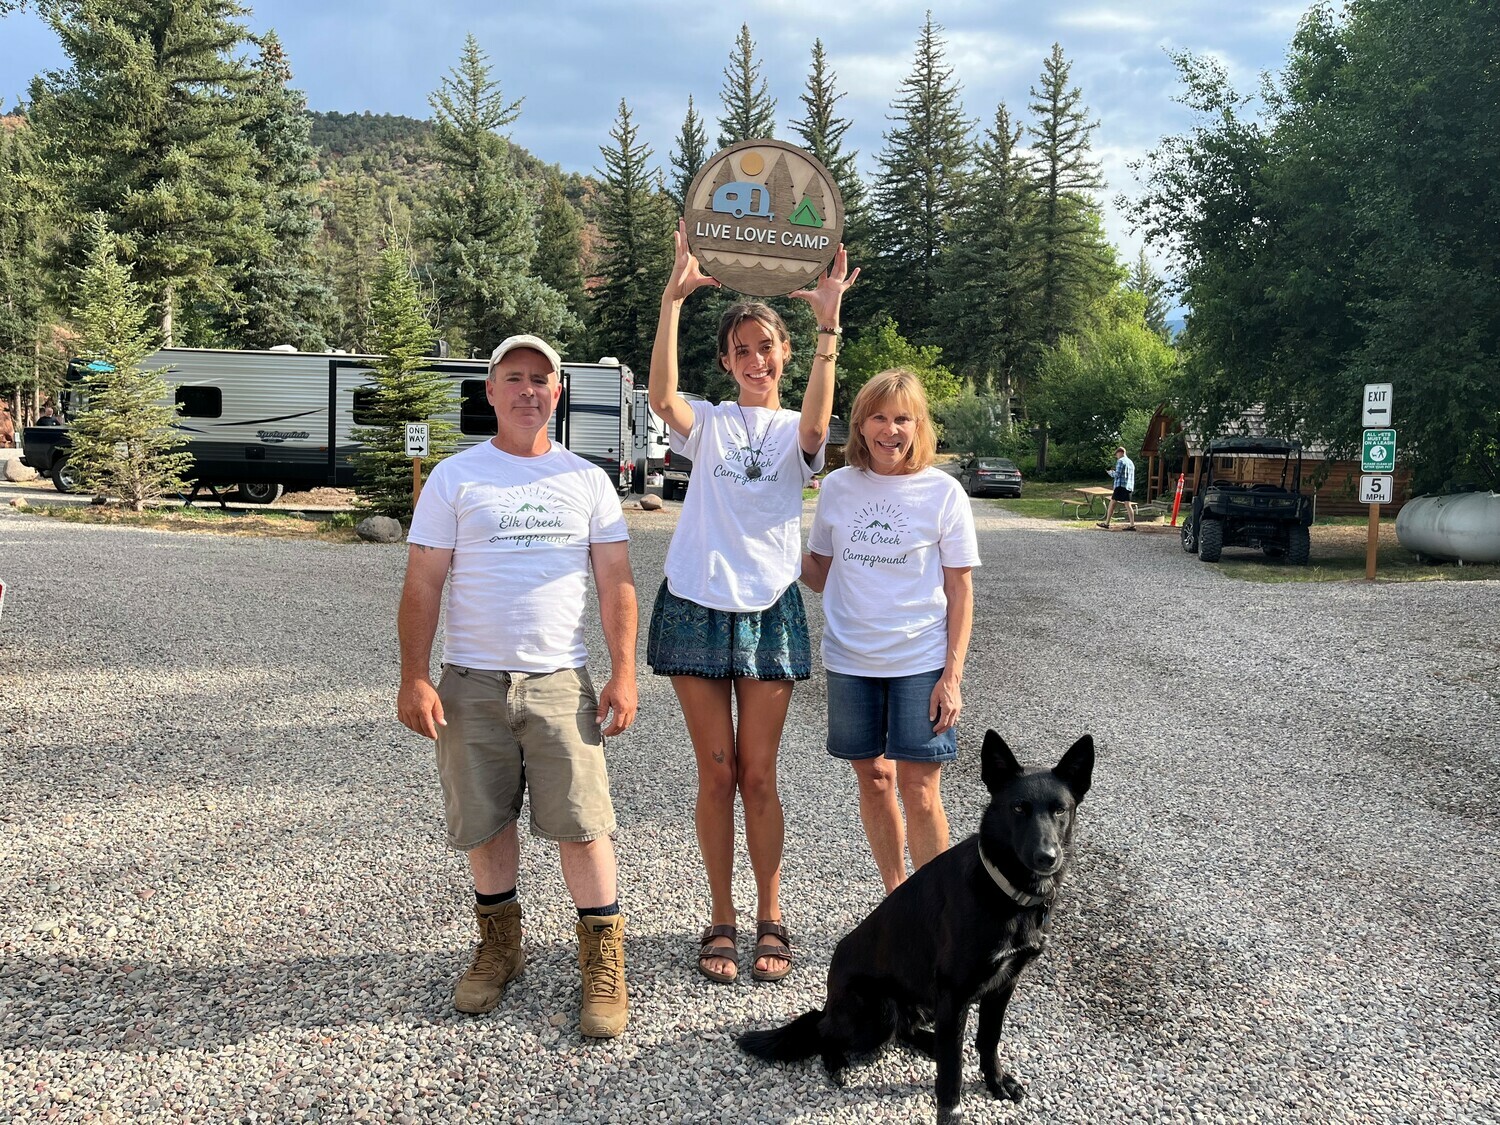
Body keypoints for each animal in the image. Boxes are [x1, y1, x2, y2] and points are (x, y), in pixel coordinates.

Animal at [738, 730, 1094, 1121]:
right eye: (1018, 808)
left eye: (1060, 809)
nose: (1047, 857)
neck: (1002, 888)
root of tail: (830, 1002)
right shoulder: (955, 995)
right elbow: (951, 1071)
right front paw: (950, 1112)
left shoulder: (1002, 986)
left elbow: (989, 1039)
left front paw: (995, 1081)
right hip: (876, 1013)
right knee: (825, 1031)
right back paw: (838, 1062)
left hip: (921, 1004)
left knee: (905, 1029)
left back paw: (927, 1040)